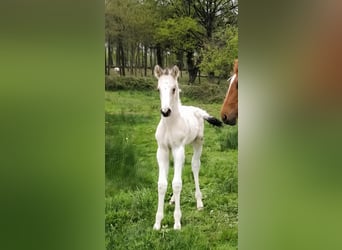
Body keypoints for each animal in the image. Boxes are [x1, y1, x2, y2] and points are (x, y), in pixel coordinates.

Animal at [152, 65, 222, 230]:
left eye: (174, 88)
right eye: (158, 89)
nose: (165, 111)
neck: (169, 125)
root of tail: (198, 110)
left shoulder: (178, 148)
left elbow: (177, 184)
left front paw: (177, 222)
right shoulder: (162, 150)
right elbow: (162, 184)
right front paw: (157, 223)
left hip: (198, 142)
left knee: (195, 166)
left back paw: (199, 202)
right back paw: (172, 199)